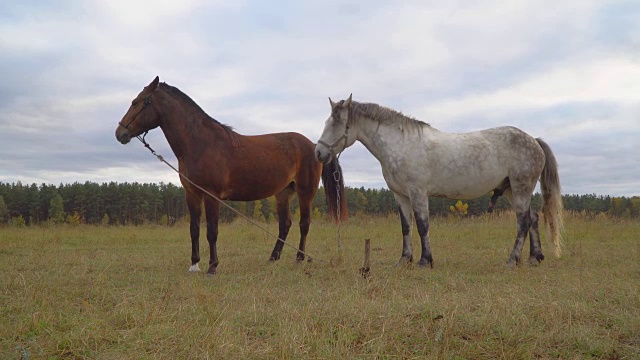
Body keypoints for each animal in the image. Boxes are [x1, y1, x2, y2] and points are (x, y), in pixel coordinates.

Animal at [112, 75, 348, 272]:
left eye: (136, 102)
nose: (119, 132)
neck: (201, 143)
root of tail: (314, 146)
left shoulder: (212, 195)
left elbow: (212, 231)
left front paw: (212, 266)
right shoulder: (192, 194)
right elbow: (194, 229)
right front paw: (194, 264)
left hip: (305, 191)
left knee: (304, 224)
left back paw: (299, 258)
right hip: (283, 193)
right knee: (285, 225)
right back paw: (273, 258)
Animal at [318, 95, 564, 268]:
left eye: (336, 123)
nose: (319, 152)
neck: (401, 143)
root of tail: (534, 140)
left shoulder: (418, 193)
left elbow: (422, 225)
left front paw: (425, 260)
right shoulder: (401, 195)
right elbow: (406, 227)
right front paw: (404, 259)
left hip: (521, 188)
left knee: (523, 222)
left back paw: (513, 260)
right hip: (514, 190)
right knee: (533, 219)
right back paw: (534, 257)